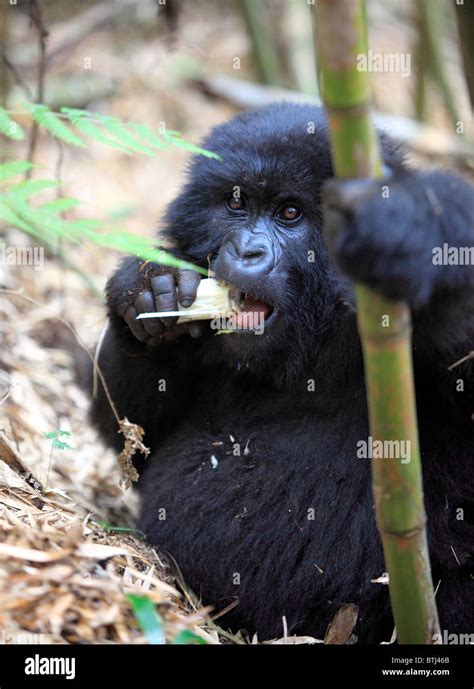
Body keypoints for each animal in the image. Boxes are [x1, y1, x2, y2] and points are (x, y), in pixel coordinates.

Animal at [90, 103, 472, 644]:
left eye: (290, 213)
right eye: (236, 203)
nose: (247, 252)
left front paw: (409, 230)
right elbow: (134, 434)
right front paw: (147, 287)